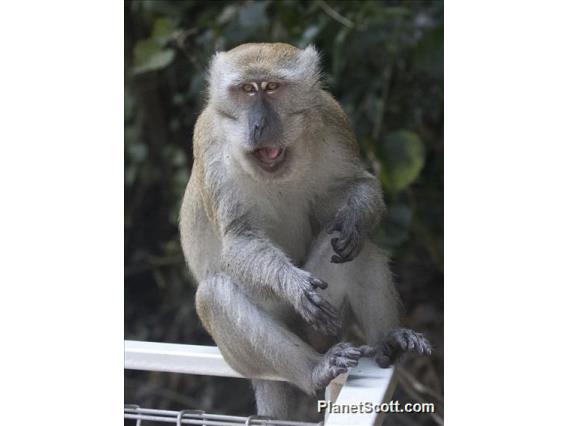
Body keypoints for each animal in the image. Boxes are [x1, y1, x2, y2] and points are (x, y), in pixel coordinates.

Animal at [180, 41, 432, 422]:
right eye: (246, 90)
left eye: (271, 87)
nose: (259, 124)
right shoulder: (209, 142)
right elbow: (240, 239)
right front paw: (293, 284)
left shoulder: (330, 117)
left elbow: (357, 187)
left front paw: (354, 220)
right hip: (267, 347)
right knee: (213, 294)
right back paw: (316, 369)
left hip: (326, 327)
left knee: (358, 250)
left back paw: (389, 340)